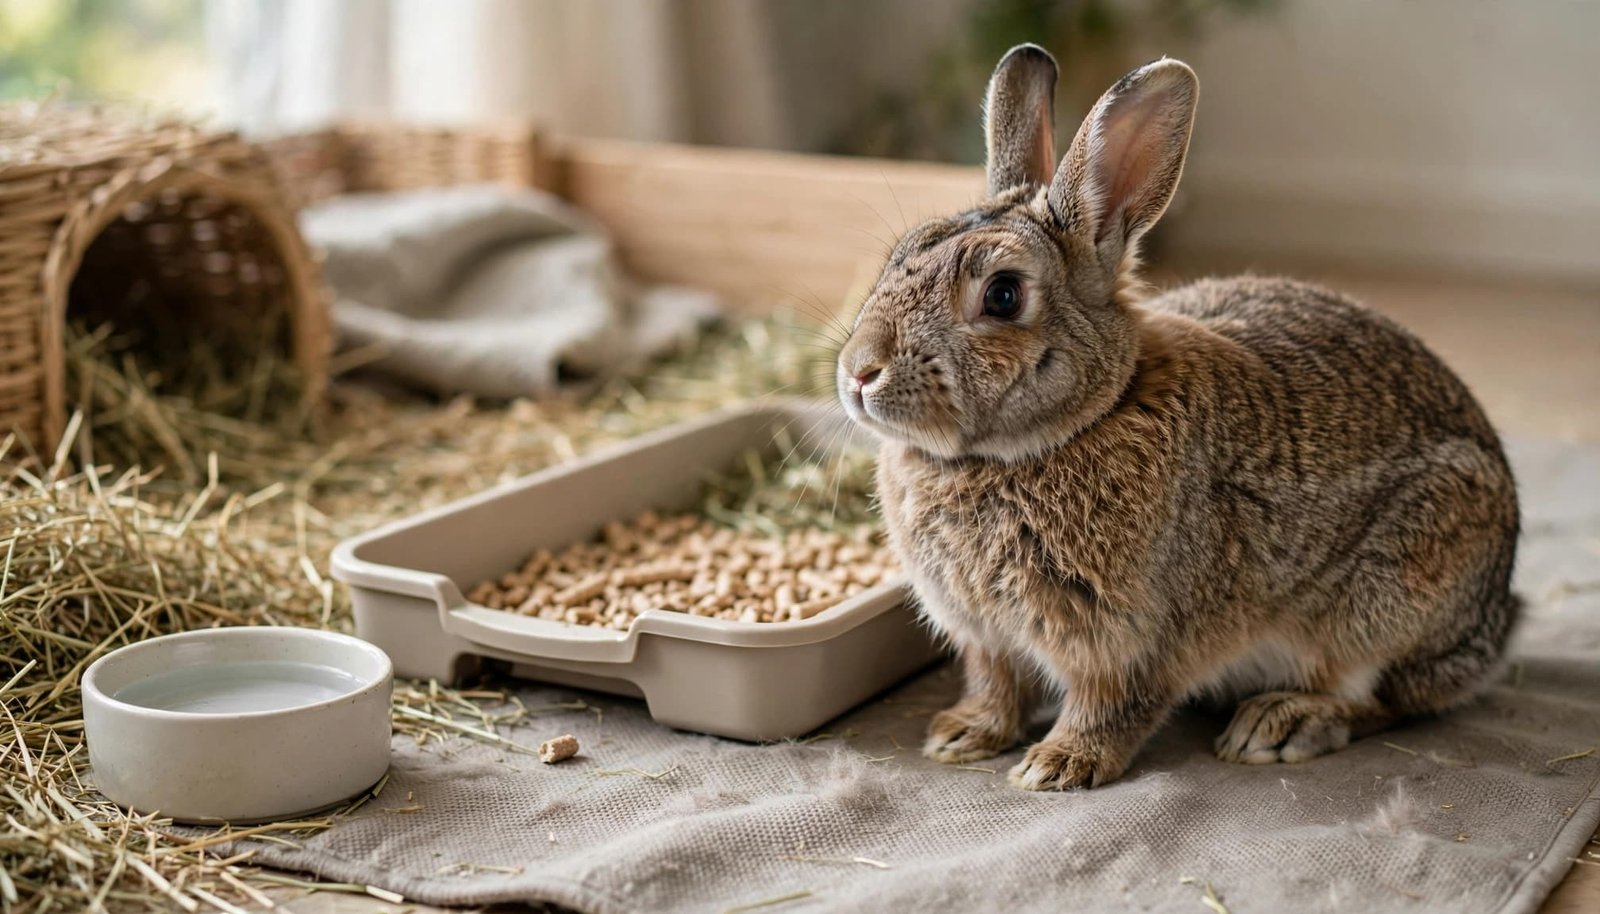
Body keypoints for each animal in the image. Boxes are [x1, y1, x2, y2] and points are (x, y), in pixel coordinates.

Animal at [835, 44, 1520, 790]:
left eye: (1004, 295)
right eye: (899, 255)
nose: (858, 370)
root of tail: (1498, 619)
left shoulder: (1132, 639)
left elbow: (1112, 704)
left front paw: (1058, 765)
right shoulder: (986, 637)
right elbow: (996, 683)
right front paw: (961, 735)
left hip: (1387, 598)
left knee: (1385, 696)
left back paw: (1281, 724)